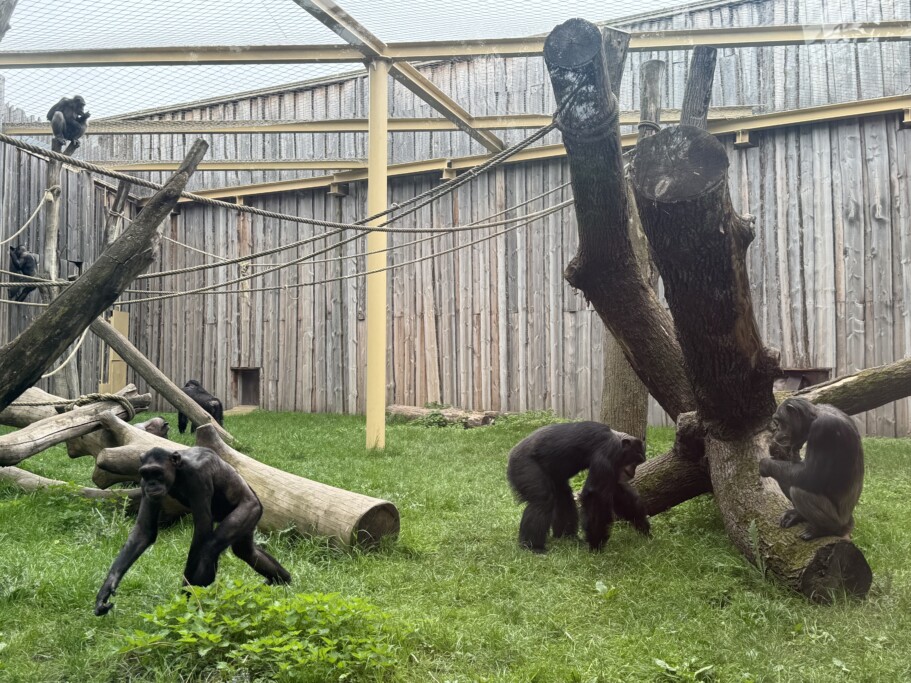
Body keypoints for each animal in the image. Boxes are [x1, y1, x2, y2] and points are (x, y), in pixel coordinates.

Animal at [96, 446, 290, 616]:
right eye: (146, 473)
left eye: (157, 472)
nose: (152, 483)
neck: (178, 472)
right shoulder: (143, 485)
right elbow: (144, 530)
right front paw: (106, 589)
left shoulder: (197, 477)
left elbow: (202, 530)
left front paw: (185, 599)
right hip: (250, 520)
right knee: (246, 551)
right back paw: (283, 579)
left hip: (249, 508)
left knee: (210, 548)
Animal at [506, 422, 648, 556]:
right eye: (637, 460)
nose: (633, 471)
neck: (617, 440)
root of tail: (511, 454)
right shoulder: (608, 452)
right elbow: (596, 495)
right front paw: (596, 546)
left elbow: (618, 492)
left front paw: (643, 527)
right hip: (524, 466)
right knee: (542, 500)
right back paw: (533, 547)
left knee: (564, 496)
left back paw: (567, 537)